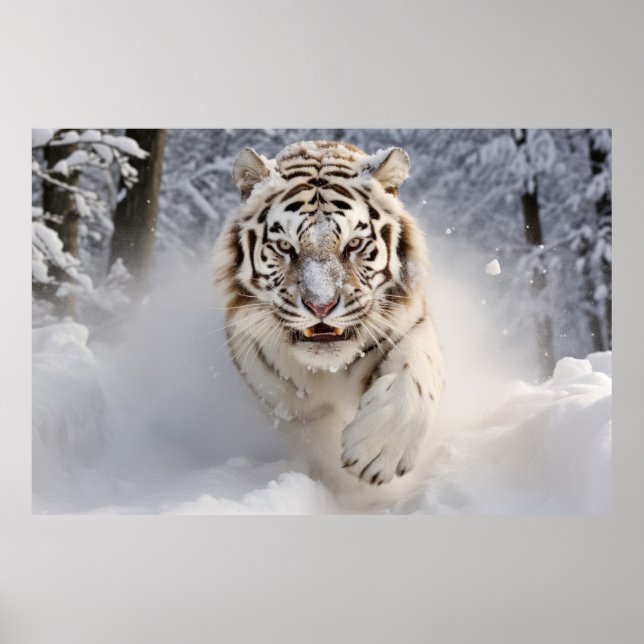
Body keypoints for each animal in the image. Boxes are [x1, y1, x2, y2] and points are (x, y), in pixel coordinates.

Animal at [213, 140, 444, 488]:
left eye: (354, 244)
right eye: (285, 246)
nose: (320, 305)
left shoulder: (409, 324)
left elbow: (414, 371)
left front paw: (377, 453)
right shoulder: (286, 405)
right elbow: (314, 442)